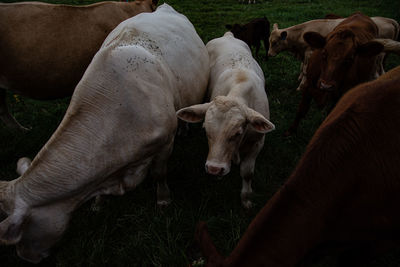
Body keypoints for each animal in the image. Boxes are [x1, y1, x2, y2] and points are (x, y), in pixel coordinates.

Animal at [177, 32, 276, 210]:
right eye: (205, 130)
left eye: (237, 133)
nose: (214, 169)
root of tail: (227, 35)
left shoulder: (257, 142)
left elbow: (247, 172)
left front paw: (246, 198)